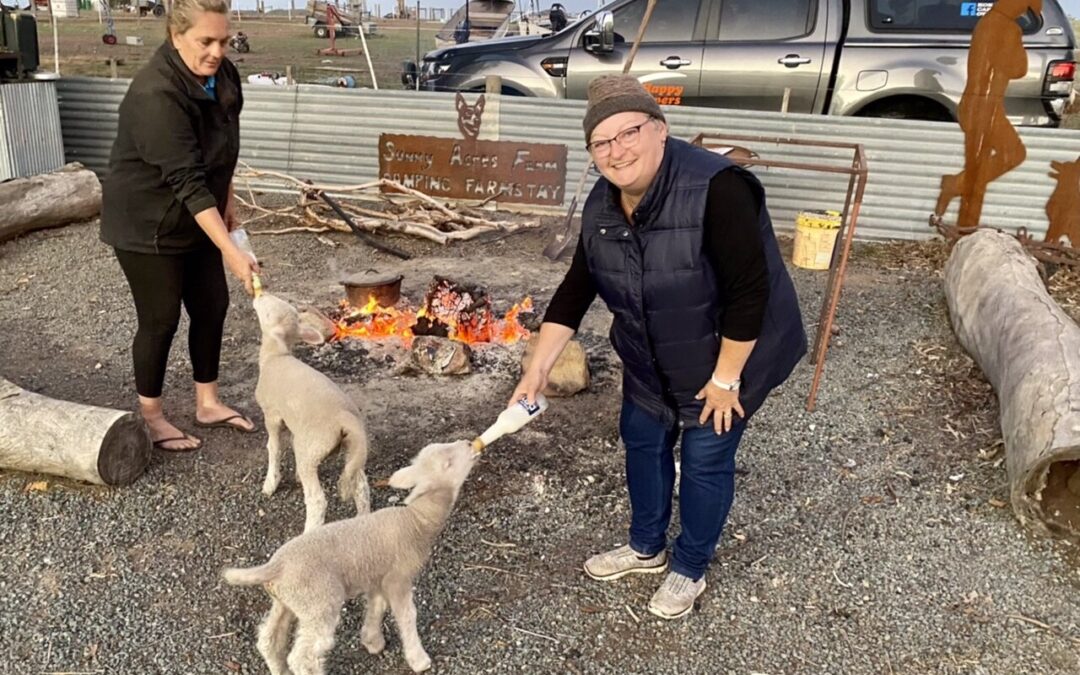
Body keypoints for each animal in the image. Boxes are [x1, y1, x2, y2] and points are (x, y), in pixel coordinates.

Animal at [222, 440, 477, 669]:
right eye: (448, 463)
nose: (469, 443)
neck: (416, 521)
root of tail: (275, 566)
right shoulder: (398, 578)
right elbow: (407, 616)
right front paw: (419, 659)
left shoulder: (378, 576)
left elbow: (376, 607)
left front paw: (372, 641)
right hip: (319, 603)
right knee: (303, 657)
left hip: (288, 601)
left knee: (269, 640)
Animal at [252, 291, 371, 529]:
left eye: (269, 312)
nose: (261, 293)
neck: (276, 355)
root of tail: (345, 418)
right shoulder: (294, 424)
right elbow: (289, 441)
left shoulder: (272, 414)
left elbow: (274, 447)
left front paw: (271, 483)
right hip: (353, 446)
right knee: (361, 487)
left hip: (311, 449)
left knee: (317, 500)